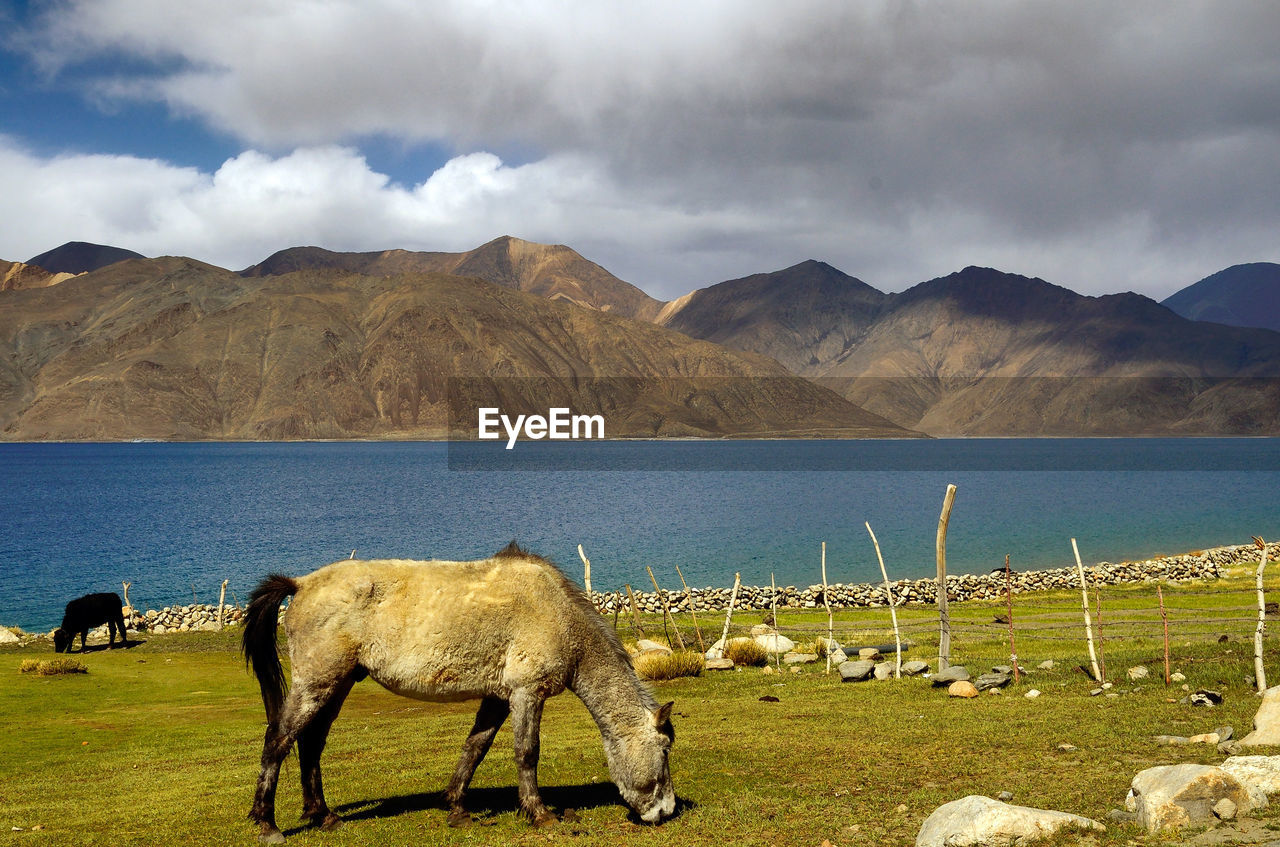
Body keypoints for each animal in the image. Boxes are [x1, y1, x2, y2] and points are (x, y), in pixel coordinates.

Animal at [241, 545, 680, 844]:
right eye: (664, 752)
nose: (667, 811)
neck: (558, 615)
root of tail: (300, 584)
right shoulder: (527, 693)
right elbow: (527, 752)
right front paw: (539, 813)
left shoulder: (499, 697)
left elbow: (475, 747)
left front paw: (456, 807)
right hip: (317, 681)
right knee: (278, 738)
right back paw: (267, 823)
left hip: (339, 682)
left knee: (311, 742)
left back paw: (323, 816)